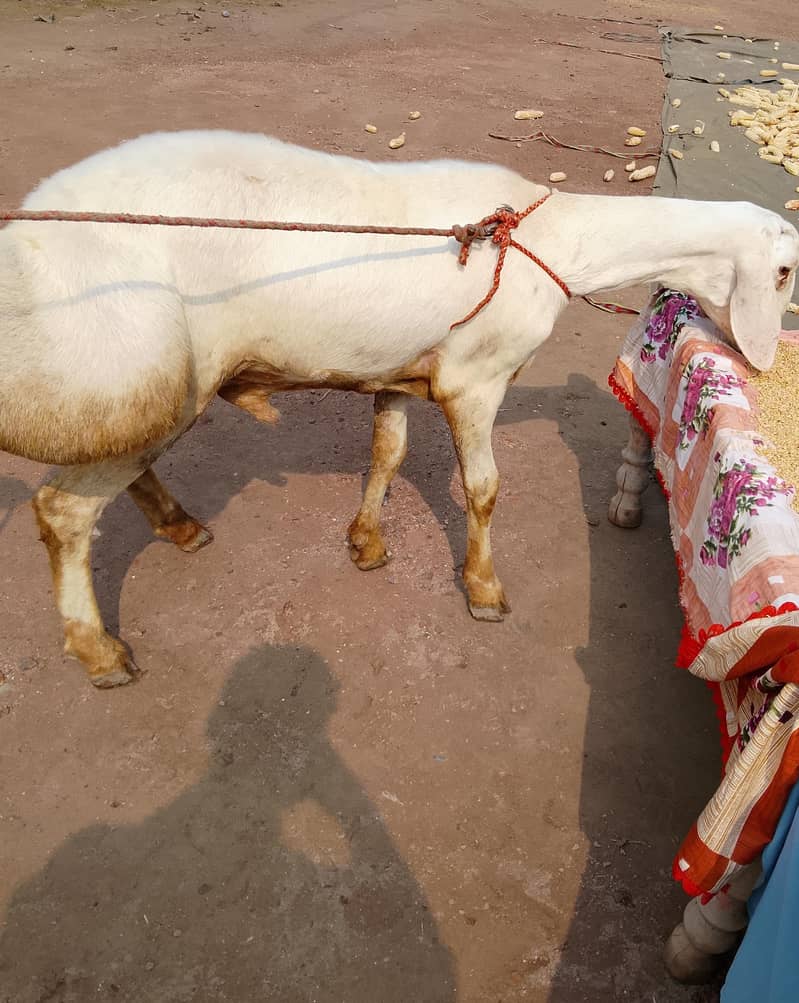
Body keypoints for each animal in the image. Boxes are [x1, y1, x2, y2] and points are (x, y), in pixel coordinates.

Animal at [1, 130, 797, 687]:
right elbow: (482, 488)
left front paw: (366, 543)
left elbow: (387, 452)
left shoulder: (397, 369)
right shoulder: (475, 378)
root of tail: (22, 242)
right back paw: (101, 652)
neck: (555, 240)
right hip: (133, 372)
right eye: (785, 271)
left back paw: (181, 526)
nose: (761, 361)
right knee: (63, 510)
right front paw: (483, 589)